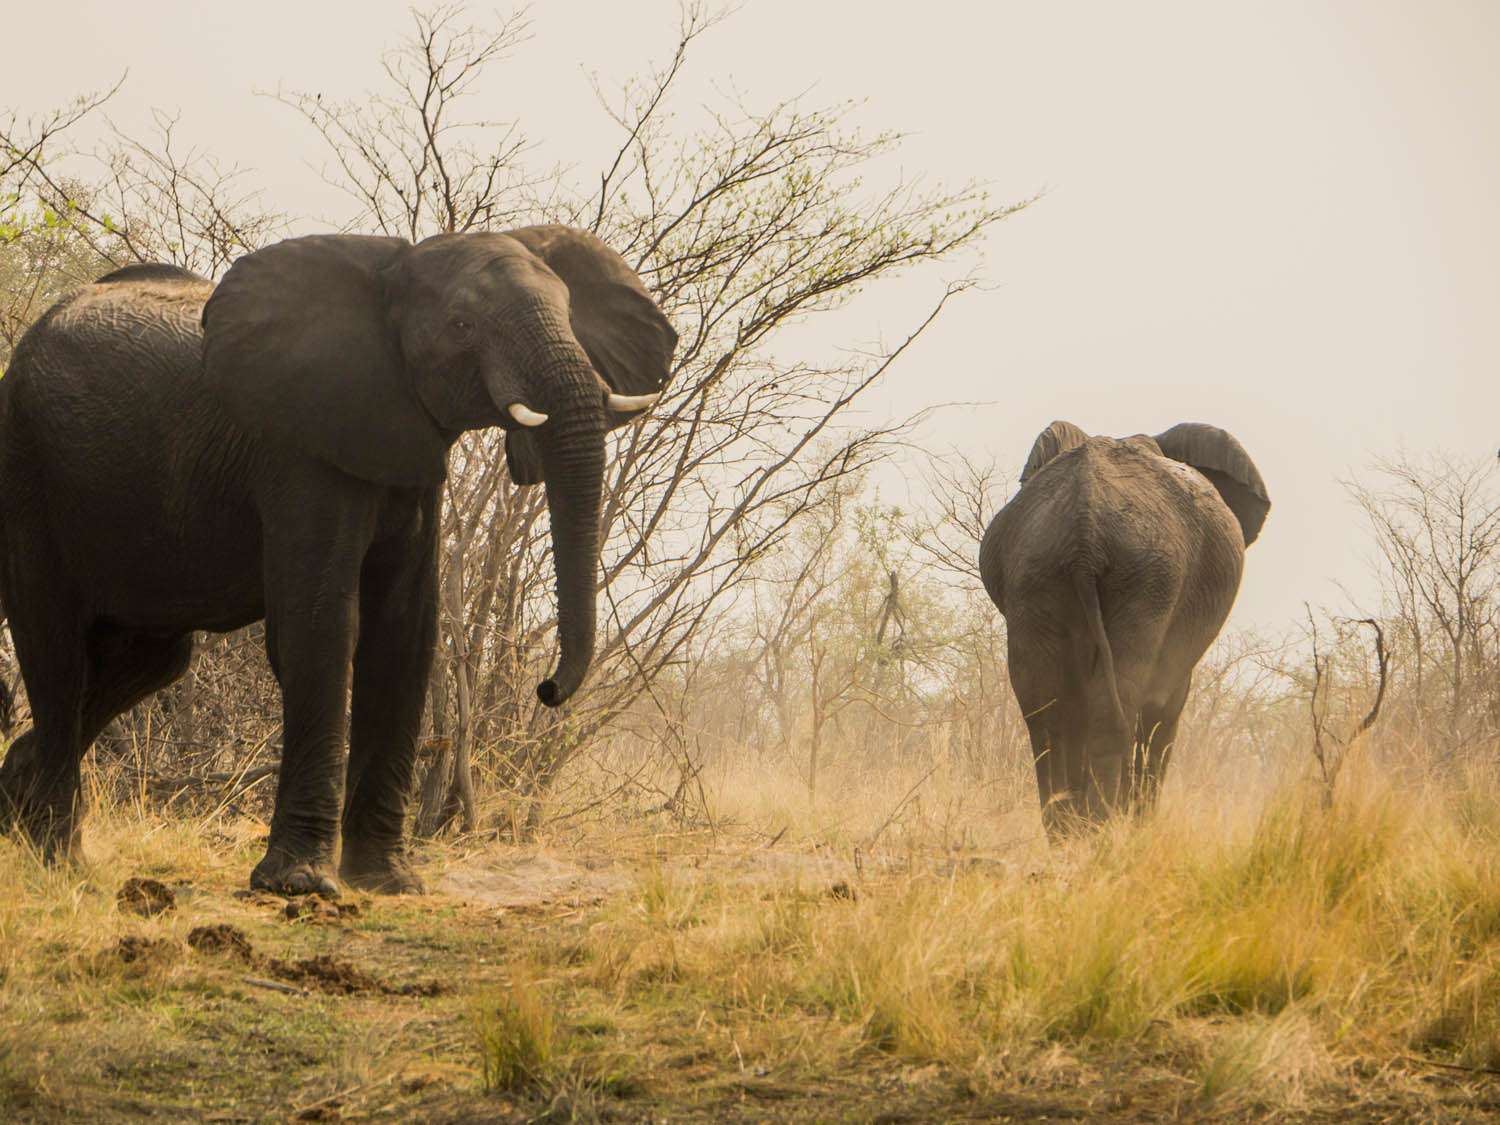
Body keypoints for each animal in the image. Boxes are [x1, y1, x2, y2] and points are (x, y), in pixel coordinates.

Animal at [0, 226, 678, 900]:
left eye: (569, 314)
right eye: (461, 325)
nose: (548, 688)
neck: (390, 273)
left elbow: (404, 633)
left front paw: (389, 883)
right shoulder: (299, 450)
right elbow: (323, 623)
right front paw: (301, 886)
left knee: (151, 660)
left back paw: (18, 810)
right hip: (27, 467)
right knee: (55, 647)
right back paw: (62, 863)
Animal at [984, 423, 1266, 840]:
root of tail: (1084, 529)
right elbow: (1167, 707)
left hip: (1034, 574)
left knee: (1046, 716)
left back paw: (1066, 833)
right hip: (1149, 580)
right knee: (1119, 705)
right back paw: (1101, 827)